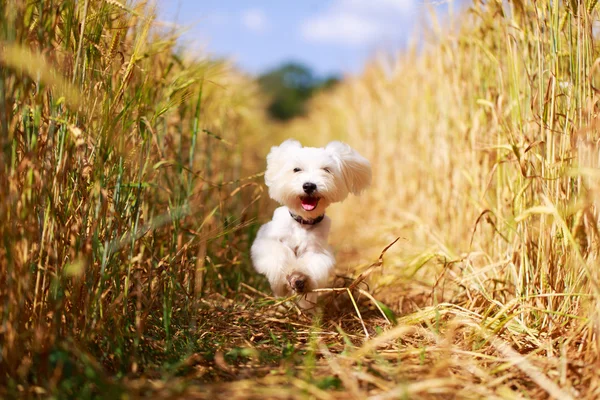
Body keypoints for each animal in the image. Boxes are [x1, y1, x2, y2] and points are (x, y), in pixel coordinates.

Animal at [248, 140, 370, 310]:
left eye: (326, 170)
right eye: (296, 169)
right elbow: (278, 255)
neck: (303, 222)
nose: (309, 186)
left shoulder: (316, 251)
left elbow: (311, 264)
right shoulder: (268, 240)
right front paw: (283, 277)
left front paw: (299, 278)